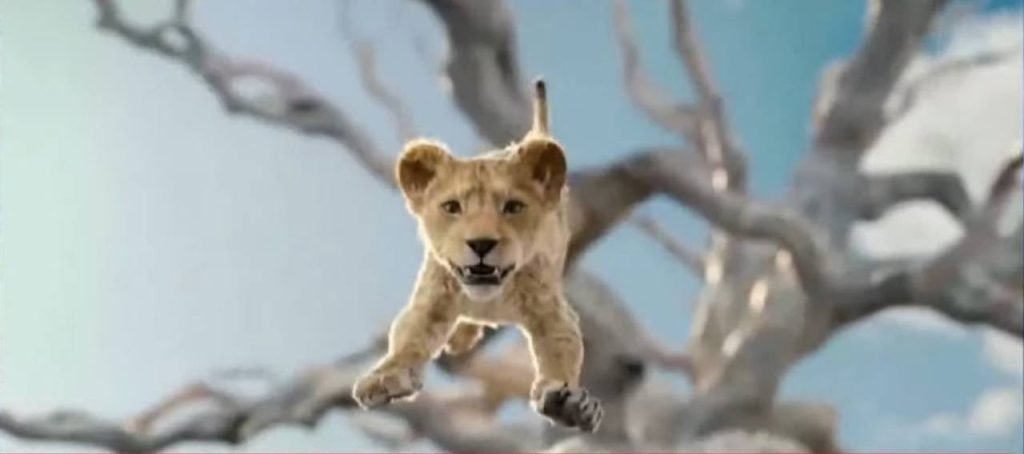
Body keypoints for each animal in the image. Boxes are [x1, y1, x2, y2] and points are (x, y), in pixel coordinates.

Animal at [351, 79, 603, 432]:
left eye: (513, 207)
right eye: (452, 207)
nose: (481, 244)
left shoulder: (552, 312)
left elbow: (561, 352)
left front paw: (567, 403)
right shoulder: (431, 302)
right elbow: (407, 340)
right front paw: (384, 378)